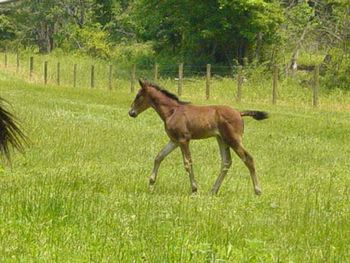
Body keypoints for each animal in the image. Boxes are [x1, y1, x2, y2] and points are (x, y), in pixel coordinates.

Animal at [129, 80, 268, 196]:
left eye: (138, 96)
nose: (131, 112)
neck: (172, 111)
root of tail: (239, 113)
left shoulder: (183, 140)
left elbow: (187, 163)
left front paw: (194, 189)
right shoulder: (174, 140)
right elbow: (159, 156)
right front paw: (151, 183)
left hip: (233, 139)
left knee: (248, 158)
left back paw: (257, 191)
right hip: (221, 139)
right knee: (226, 161)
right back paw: (213, 190)